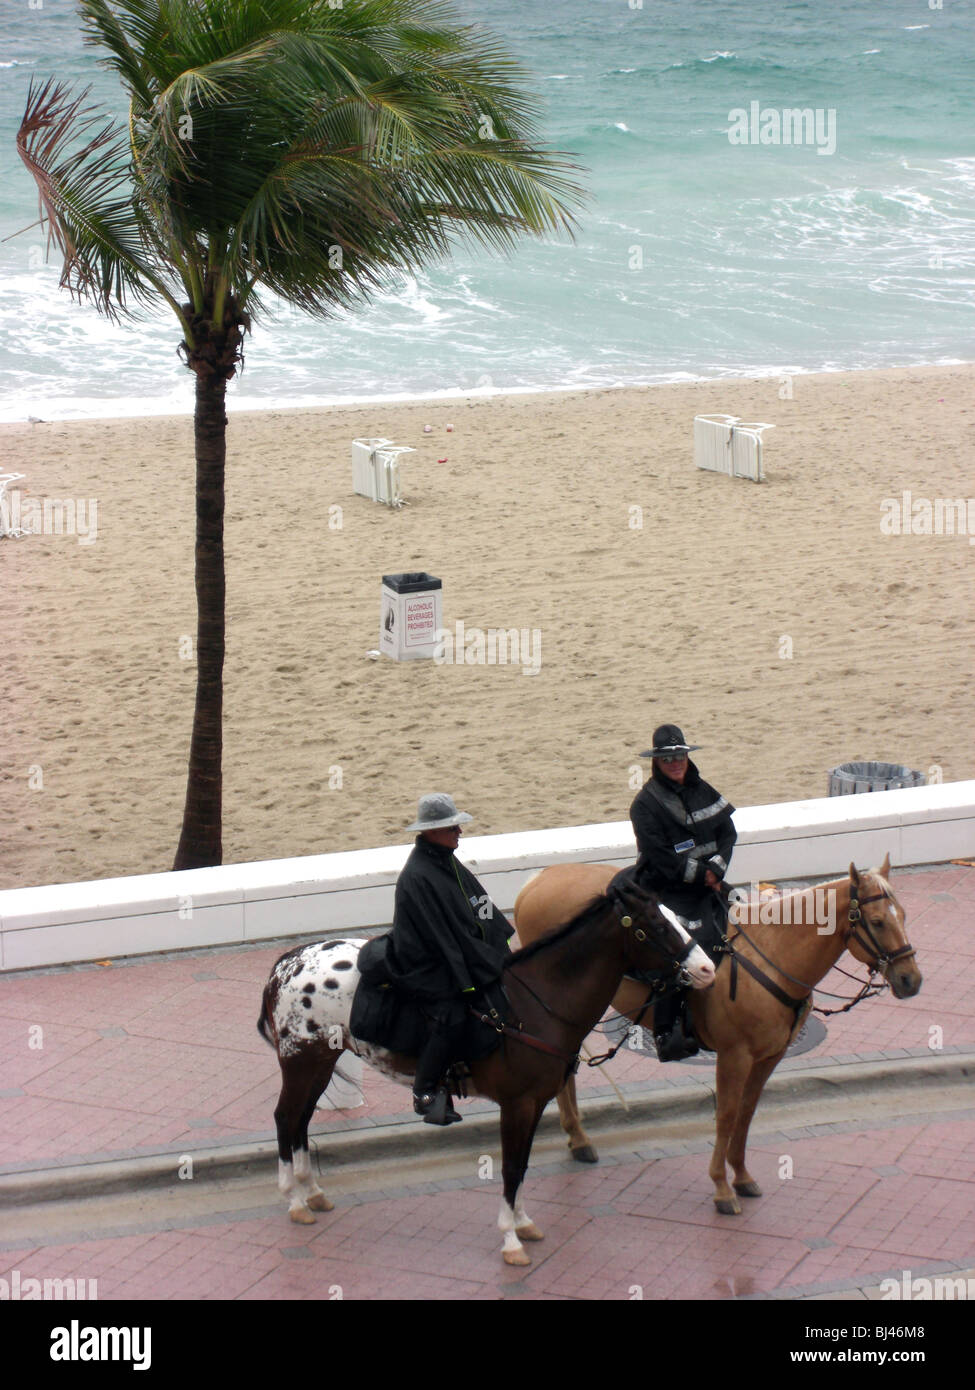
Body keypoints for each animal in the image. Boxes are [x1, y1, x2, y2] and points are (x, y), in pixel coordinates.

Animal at [258, 872, 717, 1267]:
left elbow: (524, 1163)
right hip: (301, 1059)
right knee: (285, 1118)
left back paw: (312, 1191)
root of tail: (287, 961)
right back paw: (293, 1198)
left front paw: (523, 1223)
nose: (708, 969)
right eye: (657, 924)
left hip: (320, 1061)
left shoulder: (536, 1102)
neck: (537, 1004)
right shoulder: (517, 1104)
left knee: (301, 1121)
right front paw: (510, 1239)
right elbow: (511, 1166)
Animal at [514, 856, 923, 1217]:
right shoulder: (734, 1056)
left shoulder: (769, 1056)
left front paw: (740, 1175)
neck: (772, 955)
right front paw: (722, 1187)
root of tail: (538, 880)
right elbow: (726, 1115)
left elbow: (746, 1112)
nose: (911, 980)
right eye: (877, 921)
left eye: (902, 915)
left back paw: (577, 1137)